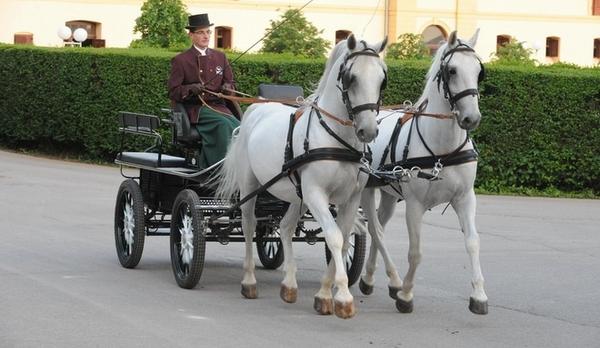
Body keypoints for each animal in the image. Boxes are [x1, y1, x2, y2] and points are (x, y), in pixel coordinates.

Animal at [218, 36, 386, 318]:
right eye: (351, 78)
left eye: (382, 78)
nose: (368, 130)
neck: (336, 139)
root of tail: (256, 108)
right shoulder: (316, 194)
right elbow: (334, 236)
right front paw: (343, 297)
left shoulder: (350, 199)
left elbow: (342, 242)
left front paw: (324, 294)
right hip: (251, 186)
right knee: (249, 225)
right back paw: (249, 281)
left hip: (297, 196)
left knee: (285, 227)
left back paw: (289, 284)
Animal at [358, 29, 490, 314]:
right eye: (452, 70)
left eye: (479, 71)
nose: (472, 118)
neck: (443, 150)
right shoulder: (415, 204)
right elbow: (416, 252)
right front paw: (406, 295)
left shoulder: (465, 198)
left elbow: (473, 242)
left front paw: (479, 295)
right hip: (364, 190)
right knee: (375, 229)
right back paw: (394, 281)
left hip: (388, 195)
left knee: (378, 227)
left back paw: (370, 277)